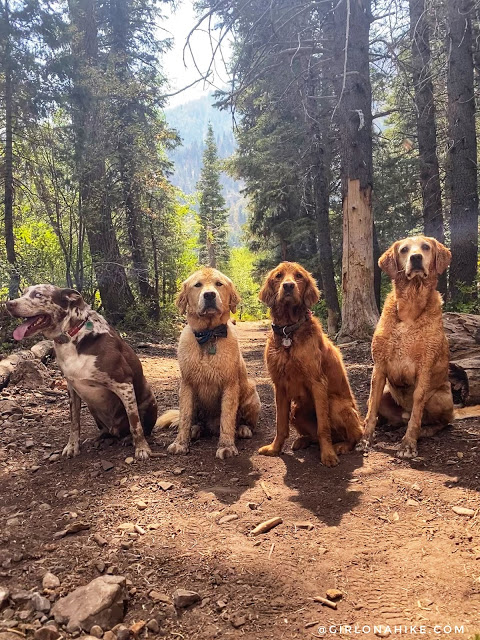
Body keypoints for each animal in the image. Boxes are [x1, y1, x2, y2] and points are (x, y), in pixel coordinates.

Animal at [256, 260, 362, 464]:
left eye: (299, 276)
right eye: (278, 276)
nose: (288, 286)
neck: (289, 331)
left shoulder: (317, 382)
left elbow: (323, 427)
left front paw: (328, 455)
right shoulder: (279, 385)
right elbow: (280, 425)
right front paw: (275, 449)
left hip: (336, 405)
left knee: (354, 436)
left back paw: (341, 447)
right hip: (296, 411)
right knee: (313, 436)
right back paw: (303, 441)